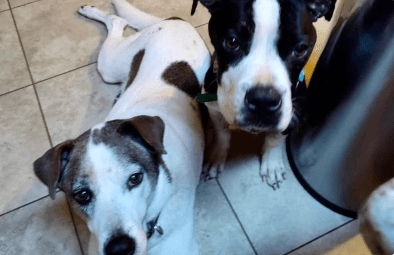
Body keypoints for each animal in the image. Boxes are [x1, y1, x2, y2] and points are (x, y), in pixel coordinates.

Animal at [33, 0, 211, 254]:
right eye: (82, 195)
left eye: (135, 178)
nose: (120, 248)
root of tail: (177, 21)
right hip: (113, 65)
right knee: (117, 22)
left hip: (109, 65)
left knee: (119, 22)